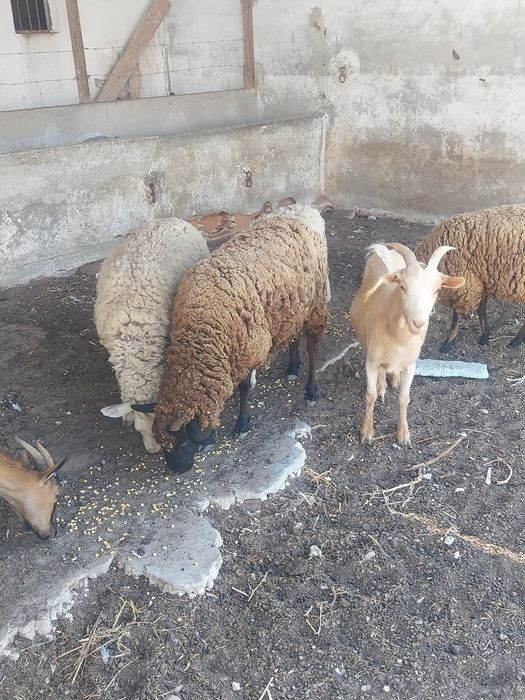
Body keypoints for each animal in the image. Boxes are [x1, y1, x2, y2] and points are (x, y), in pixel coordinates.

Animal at [349, 243, 465, 446]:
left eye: (437, 290)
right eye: (403, 287)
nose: (418, 323)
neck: (398, 337)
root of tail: (386, 251)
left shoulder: (411, 365)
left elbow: (404, 398)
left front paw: (403, 434)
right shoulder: (371, 362)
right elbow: (370, 395)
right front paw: (367, 431)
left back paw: (394, 378)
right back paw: (382, 386)